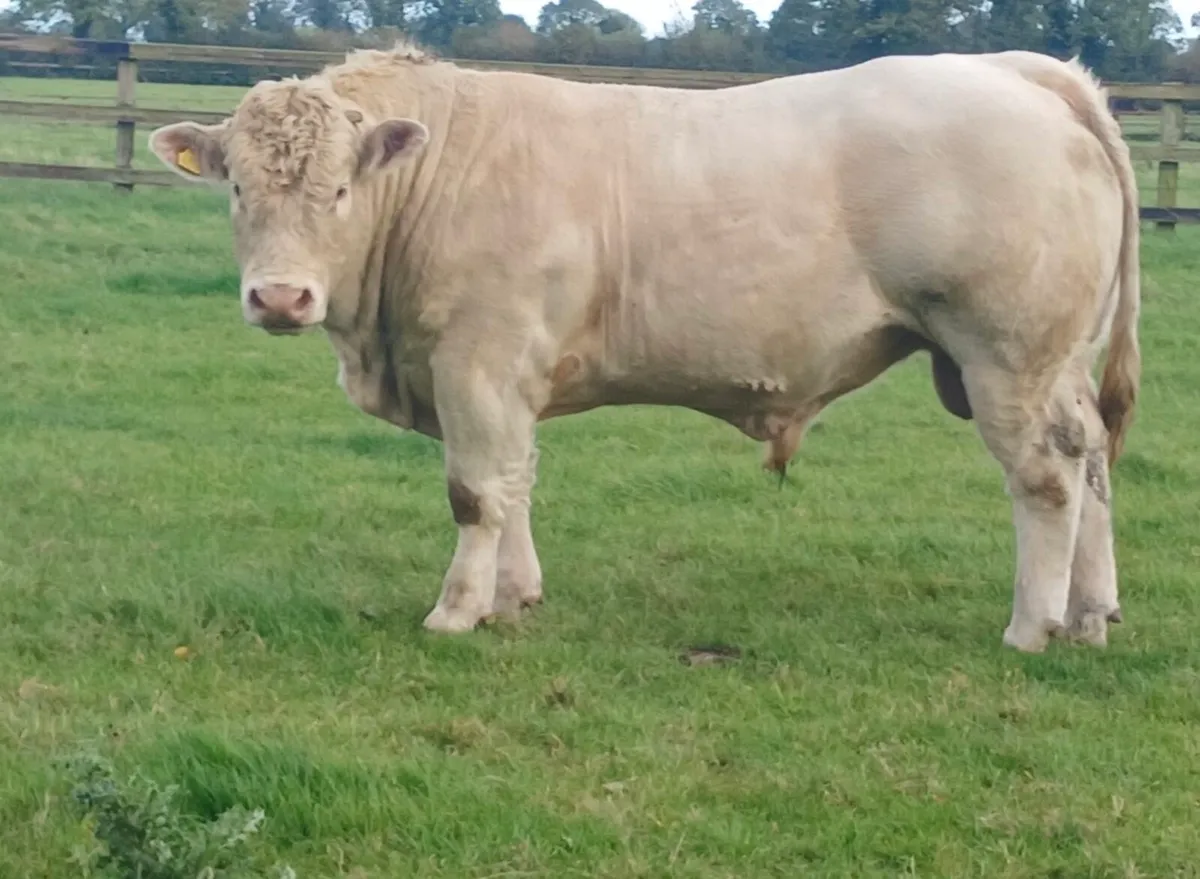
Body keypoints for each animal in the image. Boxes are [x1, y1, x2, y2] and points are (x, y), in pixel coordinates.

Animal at [148, 44, 1141, 654]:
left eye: (341, 188)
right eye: (236, 186)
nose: (281, 297)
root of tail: (1017, 70)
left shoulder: (478, 360)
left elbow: (475, 492)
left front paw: (457, 610)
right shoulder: (505, 380)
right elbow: (515, 484)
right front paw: (514, 595)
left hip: (1006, 358)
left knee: (1046, 479)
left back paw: (1032, 626)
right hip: (1055, 365)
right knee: (1092, 458)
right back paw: (1091, 613)